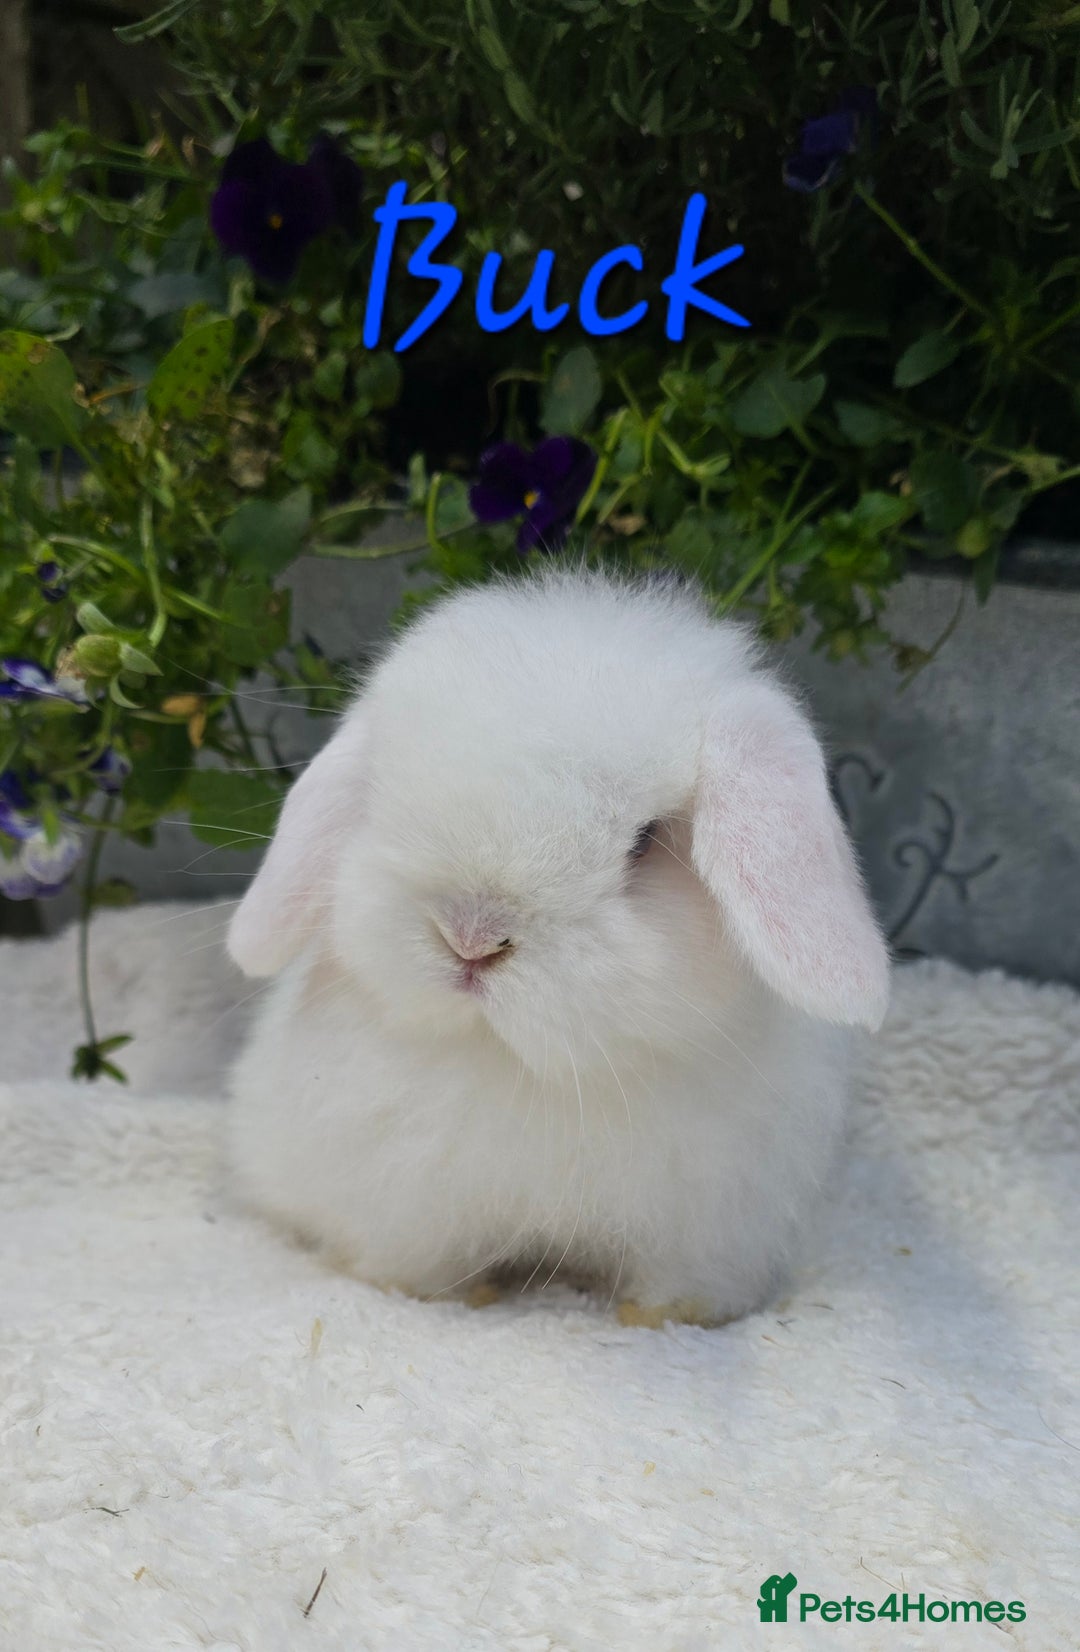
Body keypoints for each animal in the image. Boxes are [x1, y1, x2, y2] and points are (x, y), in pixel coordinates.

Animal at [225, 562, 889, 1329]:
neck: (539, 1073)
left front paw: (660, 1322)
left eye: (645, 841)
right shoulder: (410, 1206)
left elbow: (678, 1291)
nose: (470, 938)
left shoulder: (709, 1230)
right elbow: (417, 1268)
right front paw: (449, 1299)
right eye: (382, 798)